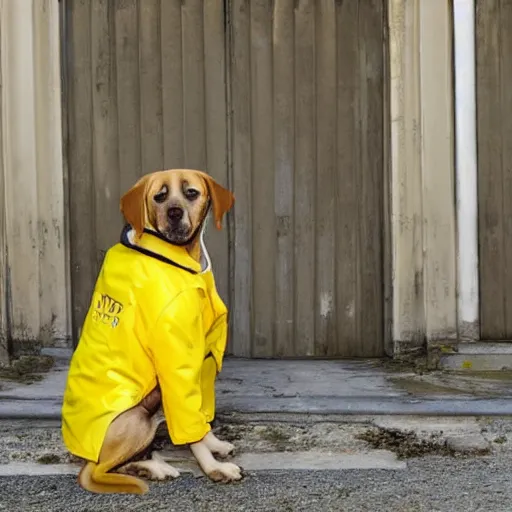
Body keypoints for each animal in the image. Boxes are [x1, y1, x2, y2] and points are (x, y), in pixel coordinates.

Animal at [61, 170, 241, 494]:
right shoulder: (176, 365)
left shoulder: (203, 358)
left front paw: (215, 445)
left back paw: (152, 465)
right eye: (159, 196)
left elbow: (199, 413)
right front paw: (214, 469)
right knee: (101, 469)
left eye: (192, 193)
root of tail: (80, 455)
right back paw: (151, 468)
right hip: (137, 419)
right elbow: (189, 424)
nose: (174, 213)